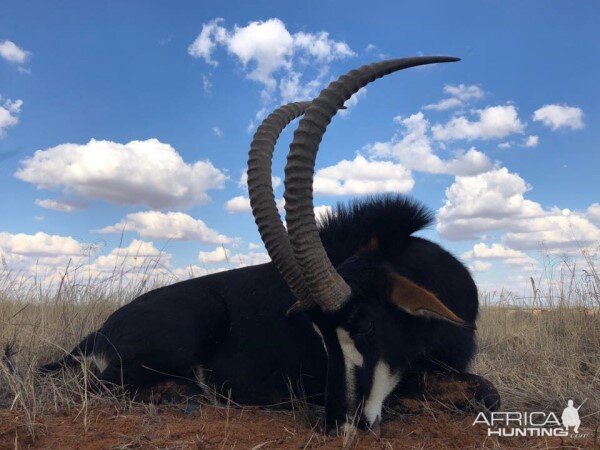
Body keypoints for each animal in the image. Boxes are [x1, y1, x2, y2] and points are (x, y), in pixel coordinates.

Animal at [39, 55, 490, 432]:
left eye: (363, 323)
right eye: (319, 334)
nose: (337, 424)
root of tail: (99, 331)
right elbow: (482, 391)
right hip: (196, 319)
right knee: (106, 384)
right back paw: (191, 396)